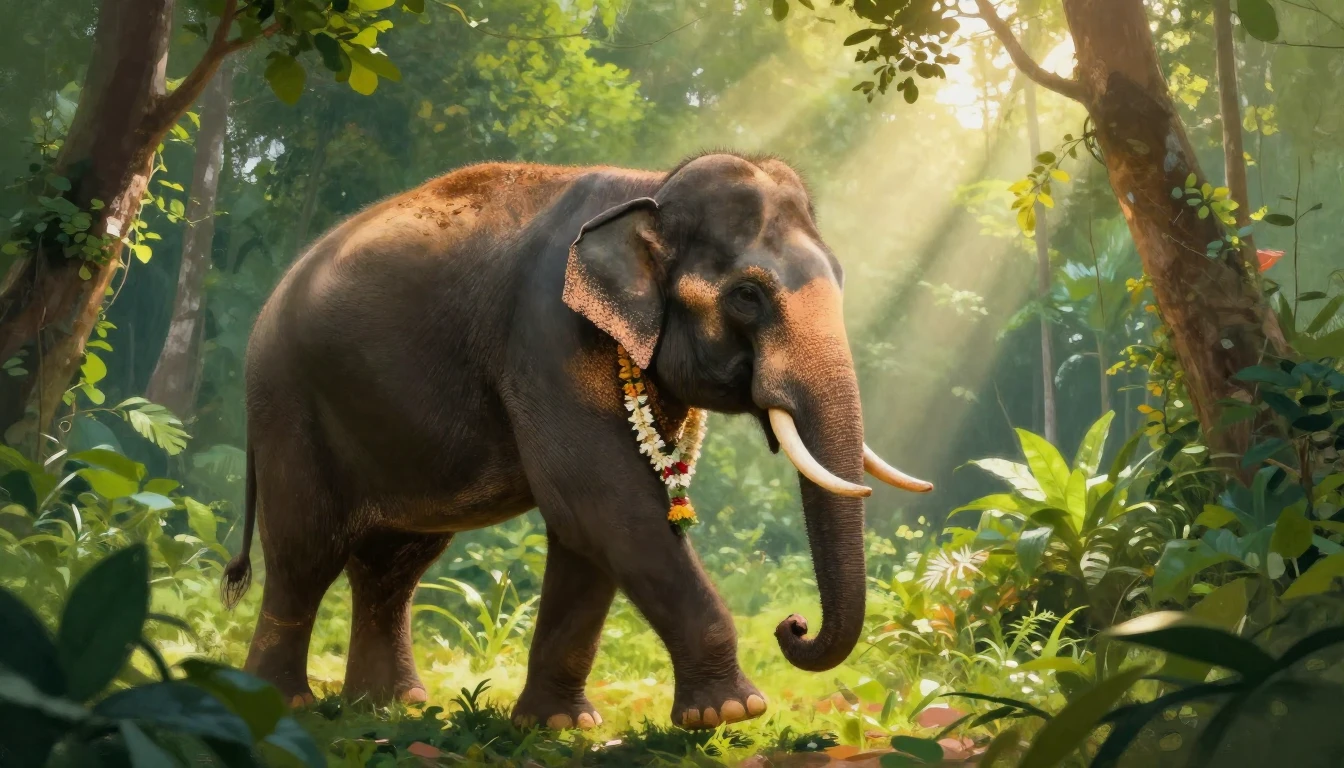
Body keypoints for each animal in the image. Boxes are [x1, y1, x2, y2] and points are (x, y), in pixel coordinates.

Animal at [219, 152, 932, 730]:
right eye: (748, 296)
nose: (794, 625)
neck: (651, 189)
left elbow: (588, 529)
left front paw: (558, 725)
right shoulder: (547, 333)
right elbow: (601, 502)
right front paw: (732, 712)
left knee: (393, 563)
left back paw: (392, 706)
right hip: (287, 403)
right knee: (305, 552)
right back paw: (285, 703)